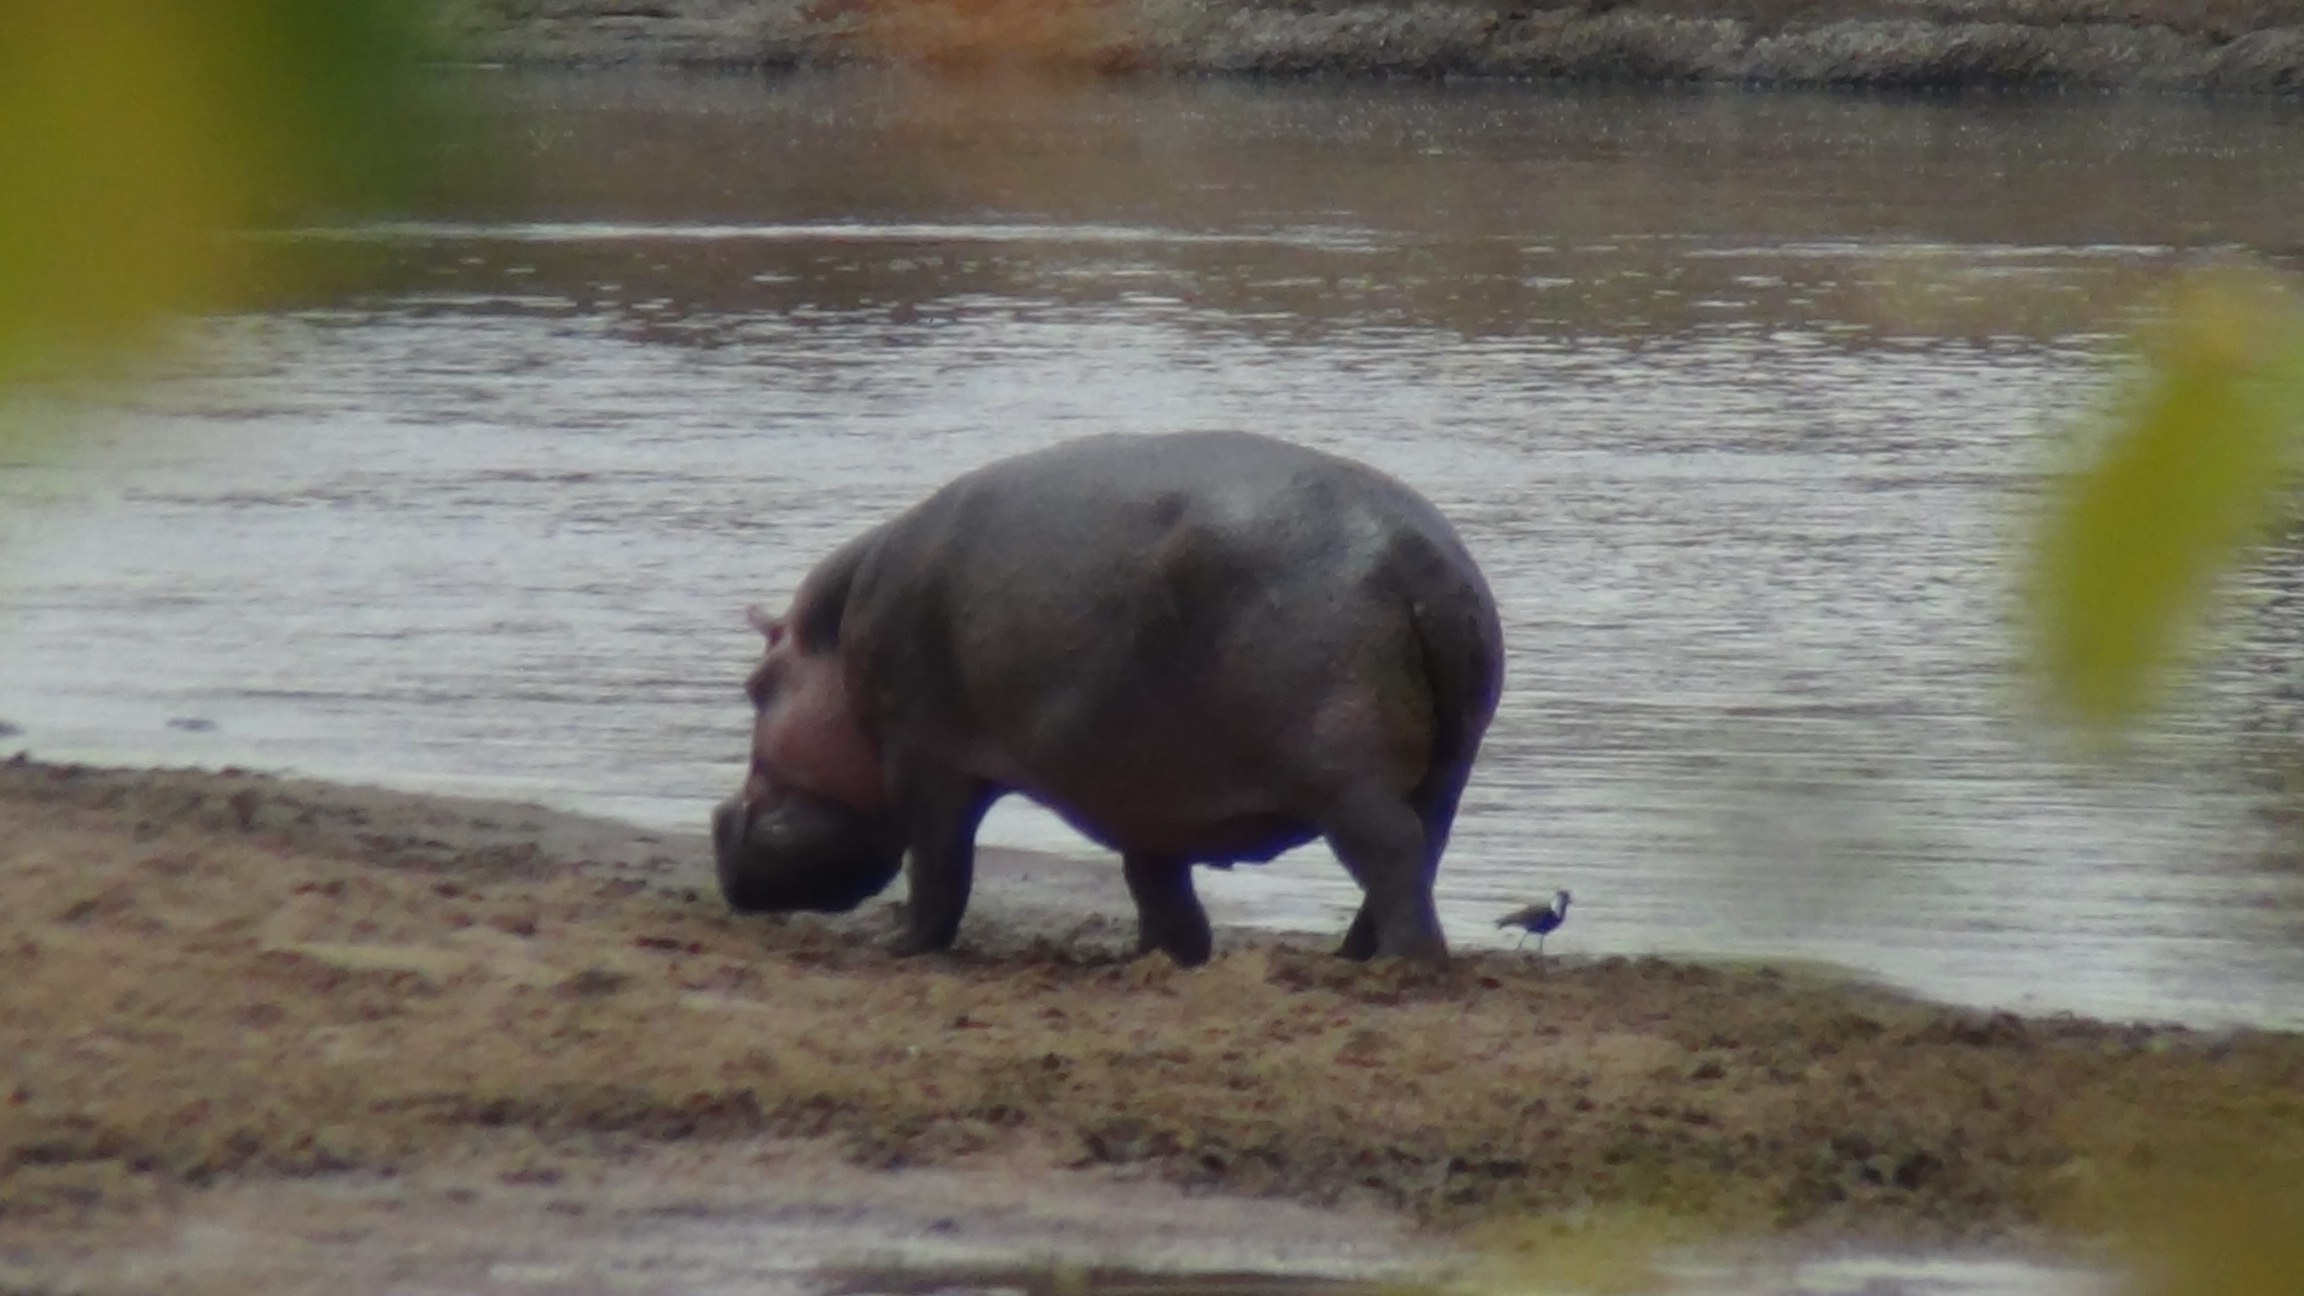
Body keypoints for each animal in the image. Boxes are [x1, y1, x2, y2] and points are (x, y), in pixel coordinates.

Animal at [710, 431, 1503, 965]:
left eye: (754, 690)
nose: (719, 822)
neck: (834, 641)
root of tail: (1415, 554)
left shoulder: (921, 754)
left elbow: (938, 865)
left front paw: (901, 946)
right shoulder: (1142, 783)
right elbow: (1154, 879)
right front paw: (1160, 958)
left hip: (1343, 772)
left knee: (1393, 851)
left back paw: (1402, 964)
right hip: (1445, 768)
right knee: (1421, 852)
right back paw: (1351, 958)